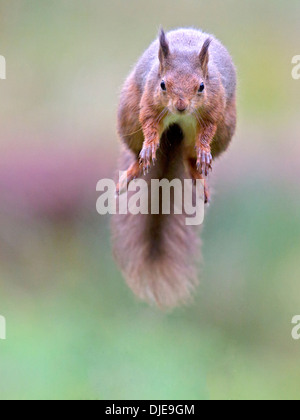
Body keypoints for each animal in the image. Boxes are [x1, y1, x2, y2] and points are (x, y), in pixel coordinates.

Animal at [112, 27, 237, 308]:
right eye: (163, 85)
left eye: (201, 86)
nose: (181, 106)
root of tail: (176, 134)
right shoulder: (148, 101)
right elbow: (148, 123)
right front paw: (149, 145)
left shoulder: (214, 109)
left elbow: (207, 131)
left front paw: (204, 151)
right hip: (128, 112)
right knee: (136, 149)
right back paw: (135, 168)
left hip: (226, 127)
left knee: (190, 157)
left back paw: (197, 174)